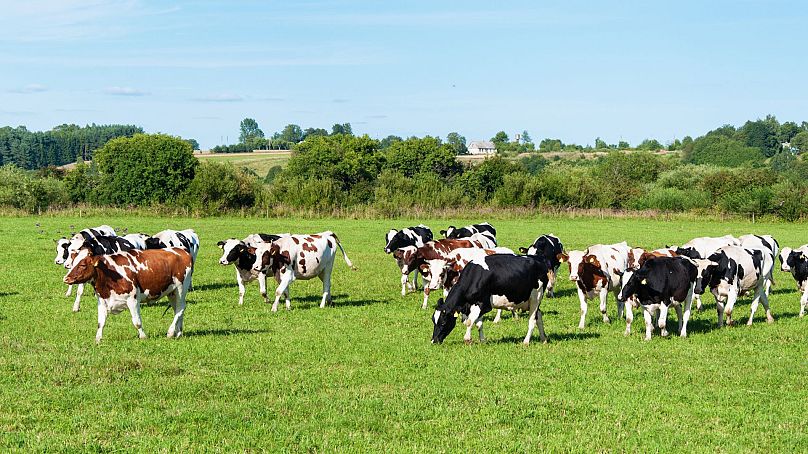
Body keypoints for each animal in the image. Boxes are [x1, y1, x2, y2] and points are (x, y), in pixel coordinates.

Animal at [63, 247, 193, 342]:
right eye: (73, 263)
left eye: (82, 265)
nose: (66, 278)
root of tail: (181, 251)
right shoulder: (102, 301)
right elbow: (101, 322)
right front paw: (98, 339)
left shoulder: (133, 299)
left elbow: (137, 322)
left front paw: (143, 336)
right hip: (171, 292)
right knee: (177, 309)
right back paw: (179, 332)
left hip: (181, 288)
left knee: (181, 308)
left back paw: (171, 332)